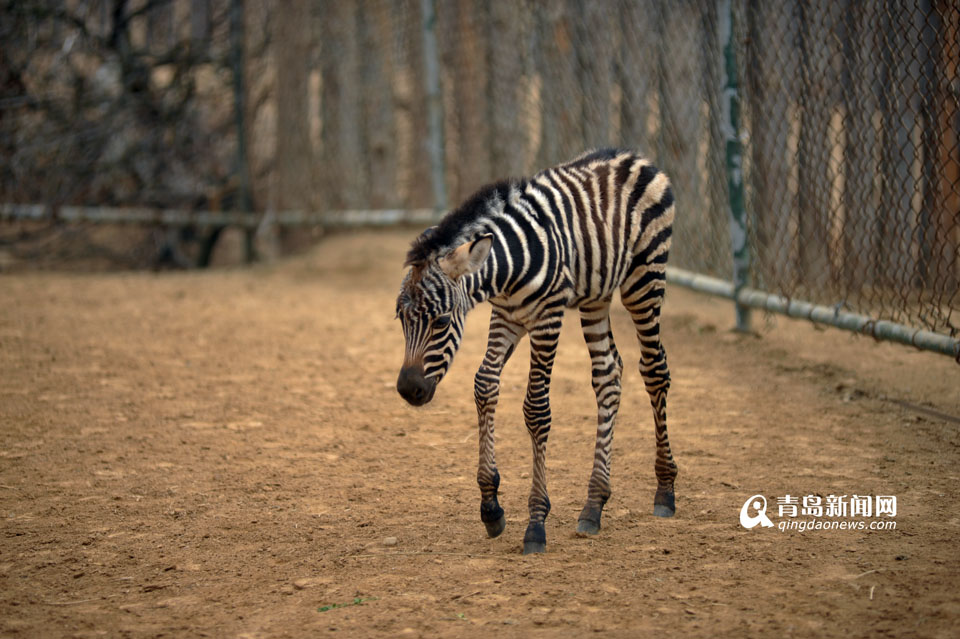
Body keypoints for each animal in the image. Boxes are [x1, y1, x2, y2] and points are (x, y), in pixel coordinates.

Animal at [394, 150, 680, 556]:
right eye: (400, 320)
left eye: (442, 321)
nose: (408, 390)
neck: (506, 267)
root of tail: (634, 156)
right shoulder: (506, 316)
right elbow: (484, 386)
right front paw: (491, 507)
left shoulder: (547, 317)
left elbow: (536, 409)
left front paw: (535, 522)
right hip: (596, 296)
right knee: (608, 375)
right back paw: (594, 504)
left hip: (645, 279)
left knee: (654, 369)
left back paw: (665, 489)